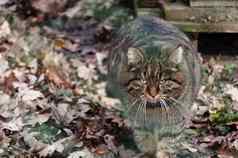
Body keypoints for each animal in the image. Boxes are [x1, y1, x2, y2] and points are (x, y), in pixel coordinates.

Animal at [108, 16, 201, 157]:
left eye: (162, 81)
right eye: (143, 81)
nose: (152, 93)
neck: (154, 109)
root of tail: (144, 17)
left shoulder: (174, 125)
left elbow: (166, 145)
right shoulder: (140, 123)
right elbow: (146, 141)